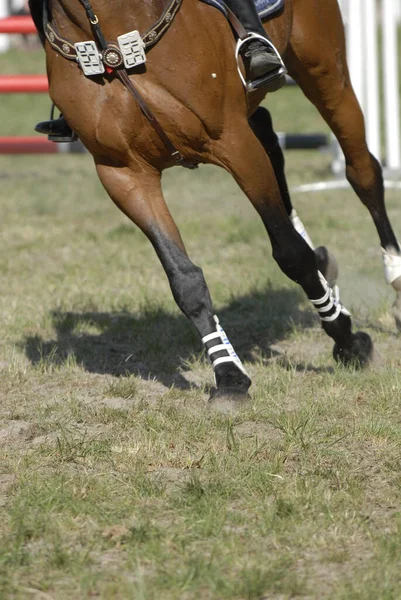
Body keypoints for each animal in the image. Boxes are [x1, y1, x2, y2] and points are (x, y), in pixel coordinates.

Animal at [28, 0, 400, 404]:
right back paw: (325, 264)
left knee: (363, 173)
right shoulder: (125, 175)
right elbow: (185, 280)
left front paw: (348, 340)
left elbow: (290, 254)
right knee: (269, 133)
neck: (110, 42)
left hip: (326, 73)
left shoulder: (235, 144)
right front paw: (229, 375)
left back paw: (394, 278)